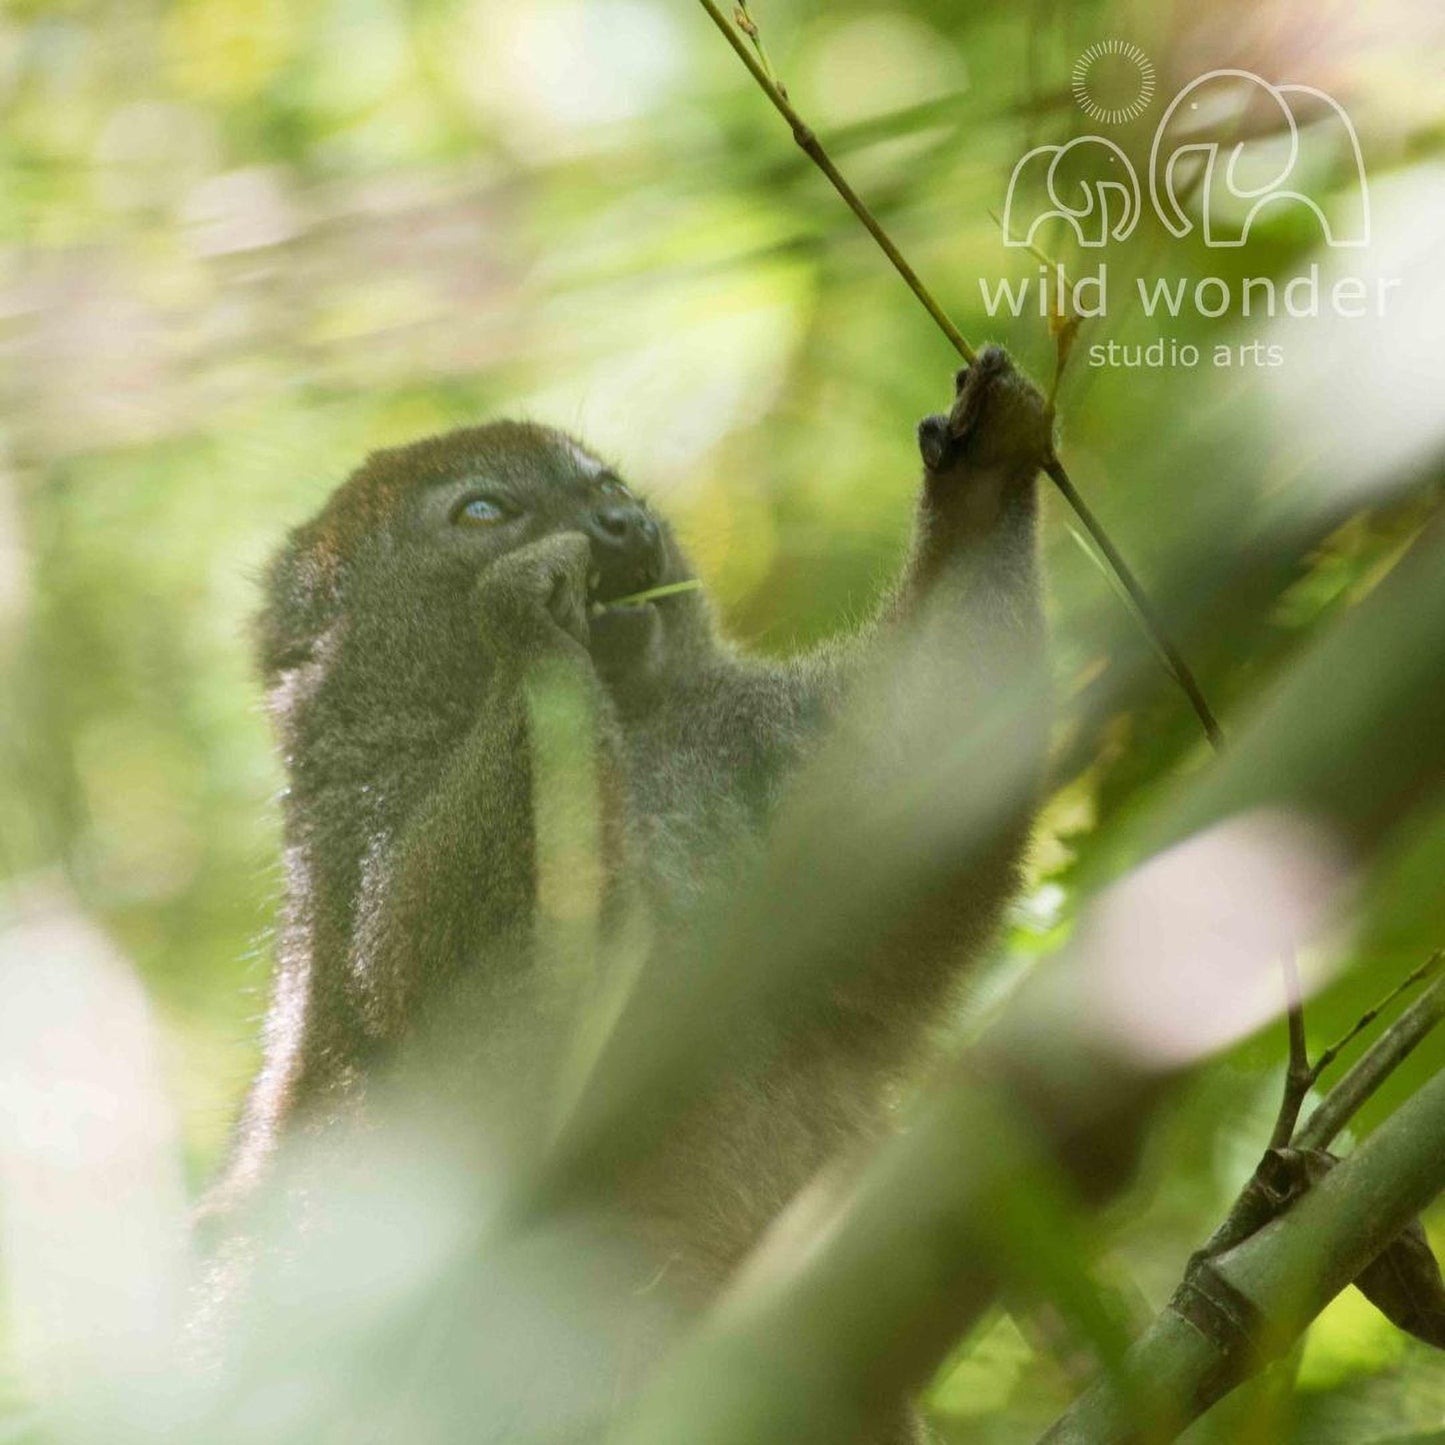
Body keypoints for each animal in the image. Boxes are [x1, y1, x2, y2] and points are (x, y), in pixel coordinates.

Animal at [213, 345, 1052, 1442]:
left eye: (603, 482)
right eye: (485, 510)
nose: (618, 522)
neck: (644, 731)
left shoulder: (750, 744)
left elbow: (917, 798)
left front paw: (980, 478)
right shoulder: (354, 854)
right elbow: (454, 1059)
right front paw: (531, 623)